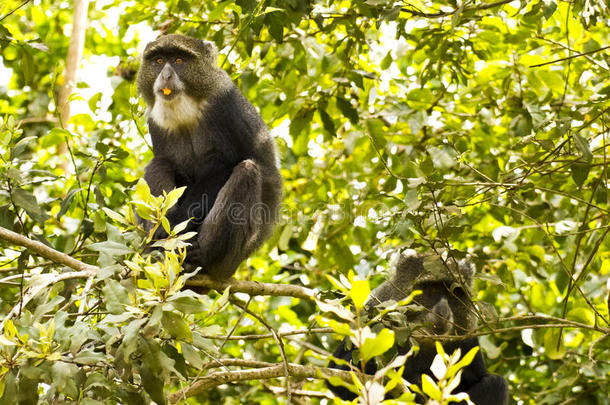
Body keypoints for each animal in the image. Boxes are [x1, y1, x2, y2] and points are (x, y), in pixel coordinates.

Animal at [134, 34, 282, 278]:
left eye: (179, 60)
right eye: (158, 61)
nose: (166, 75)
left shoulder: (224, 106)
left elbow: (222, 168)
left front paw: (175, 224)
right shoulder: (156, 122)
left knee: (247, 170)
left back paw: (202, 255)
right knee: (159, 163)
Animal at [326, 252, 506, 404]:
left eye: (455, 293)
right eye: (432, 288)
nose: (443, 313)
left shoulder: (468, 336)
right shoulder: (372, 314)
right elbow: (342, 374)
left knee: (496, 384)